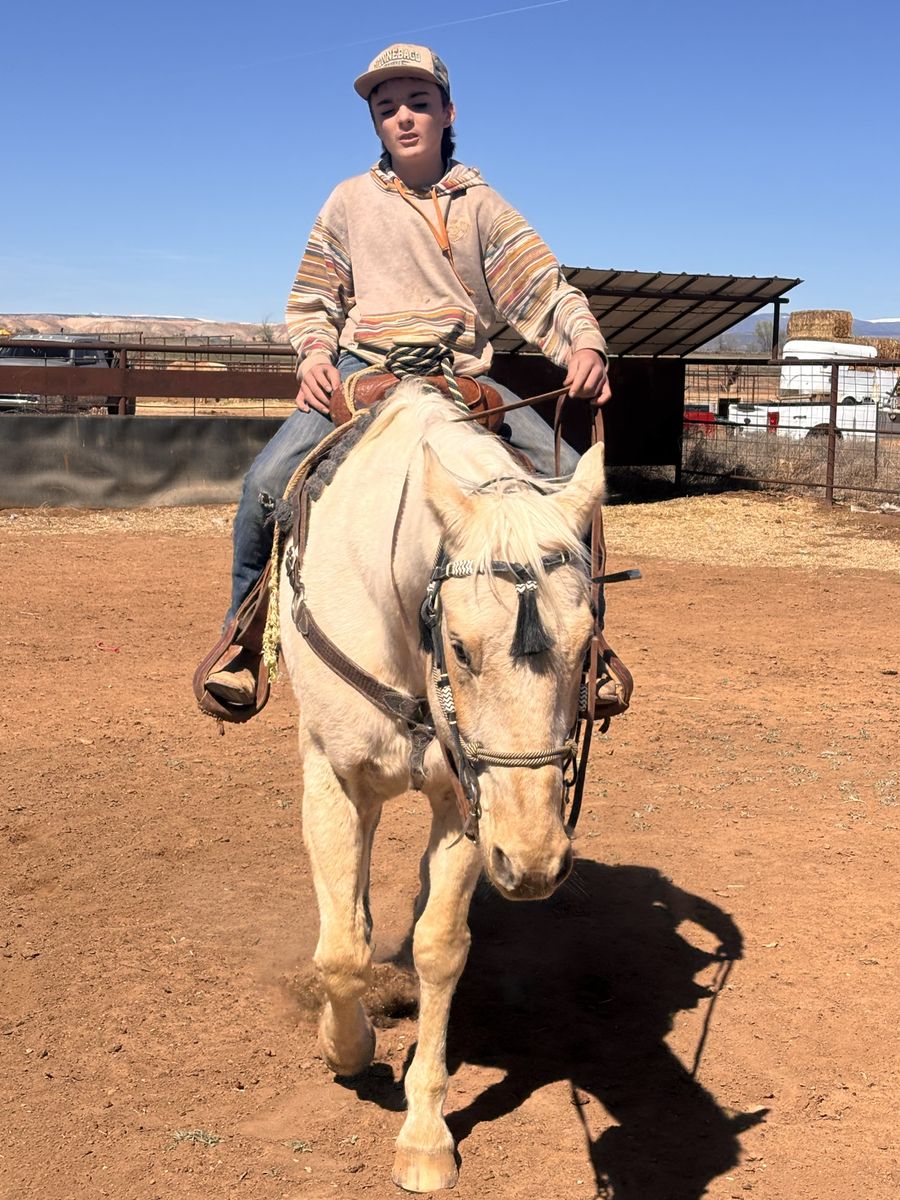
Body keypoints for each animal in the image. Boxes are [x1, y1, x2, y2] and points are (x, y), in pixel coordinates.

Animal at [278, 377, 607, 1192]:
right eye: (459, 644)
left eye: (587, 644)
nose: (534, 863)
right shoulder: (332, 778)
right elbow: (340, 952)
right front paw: (349, 1049)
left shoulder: (467, 801)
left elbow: (439, 946)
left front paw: (424, 1133)